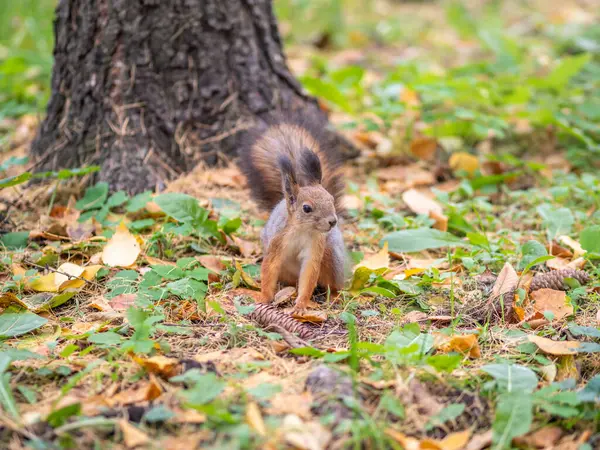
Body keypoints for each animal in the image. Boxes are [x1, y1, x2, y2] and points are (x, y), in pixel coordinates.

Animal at [239, 117, 346, 312]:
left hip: (332, 258)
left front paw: (301, 304)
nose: (332, 221)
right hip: (286, 270)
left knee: (331, 283)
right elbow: (269, 267)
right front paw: (264, 298)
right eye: (307, 208)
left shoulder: (316, 246)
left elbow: (309, 273)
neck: (303, 230)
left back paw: (334, 296)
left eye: (332, 199)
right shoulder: (277, 242)